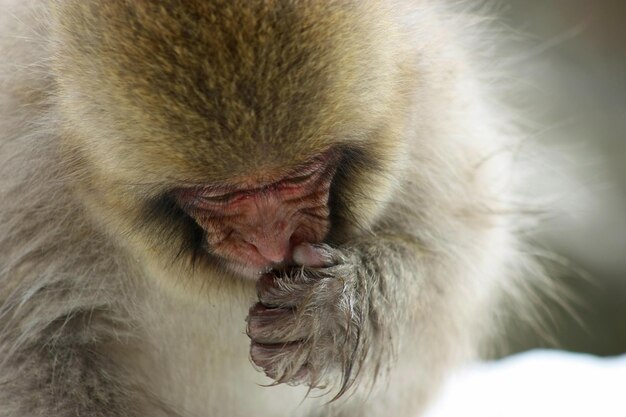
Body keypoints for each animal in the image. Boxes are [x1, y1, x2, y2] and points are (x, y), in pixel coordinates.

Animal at [0, 0, 536, 414]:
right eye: (217, 196)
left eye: (299, 176)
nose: (272, 243)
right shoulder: (24, 183)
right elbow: (33, 353)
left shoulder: (429, 105)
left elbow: (455, 262)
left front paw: (334, 315)